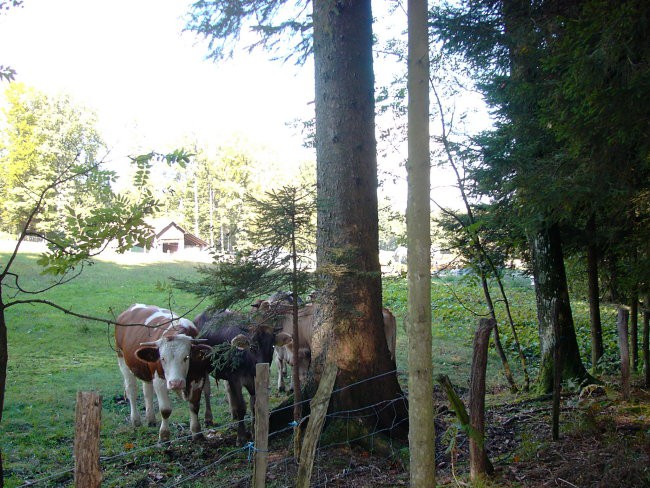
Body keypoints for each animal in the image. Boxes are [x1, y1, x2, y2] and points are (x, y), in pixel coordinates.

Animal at [114, 304, 210, 440]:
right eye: (162, 358)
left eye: (186, 357)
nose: (175, 383)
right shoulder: (159, 380)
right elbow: (165, 410)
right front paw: (164, 436)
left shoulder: (199, 377)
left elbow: (195, 405)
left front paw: (197, 432)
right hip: (122, 359)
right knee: (131, 390)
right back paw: (136, 420)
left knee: (147, 390)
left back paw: (151, 419)